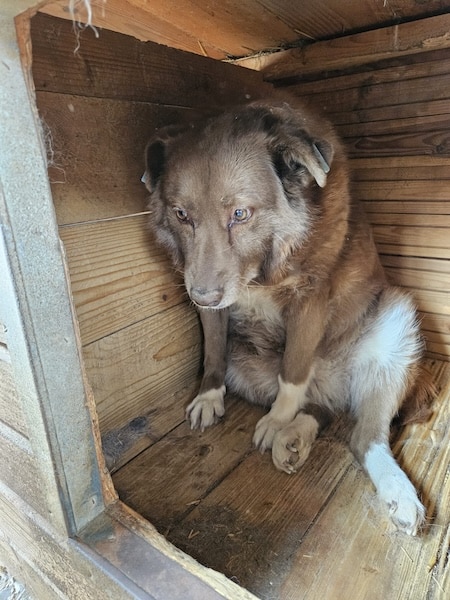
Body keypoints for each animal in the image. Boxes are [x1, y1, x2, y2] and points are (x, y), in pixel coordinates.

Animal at [142, 99, 434, 535]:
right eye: (181, 214)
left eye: (240, 213)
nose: (202, 297)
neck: (264, 267)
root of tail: (333, 386)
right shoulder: (213, 305)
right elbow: (213, 353)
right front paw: (209, 395)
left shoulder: (310, 298)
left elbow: (293, 372)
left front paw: (279, 420)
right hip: (247, 366)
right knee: (324, 410)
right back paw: (297, 437)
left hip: (396, 324)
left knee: (365, 437)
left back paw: (396, 491)